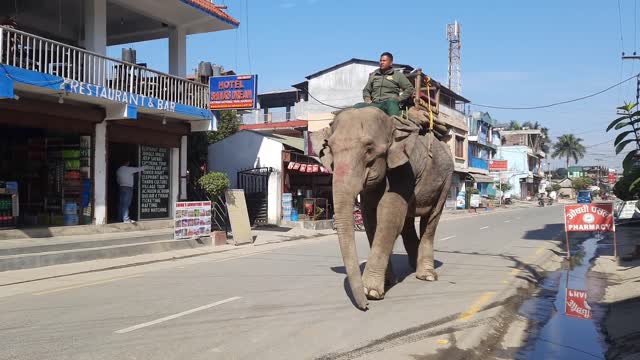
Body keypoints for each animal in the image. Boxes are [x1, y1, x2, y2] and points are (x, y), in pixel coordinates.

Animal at [312, 106, 456, 310]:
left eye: (369, 149)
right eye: (330, 148)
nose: (365, 307)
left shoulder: (405, 168)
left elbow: (389, 218)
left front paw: (371, 292)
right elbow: (371, 219)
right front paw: (387, 283)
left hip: (446, 180)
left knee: (431, 221)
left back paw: (426, 275)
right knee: (407, 222)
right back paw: (414, 266)